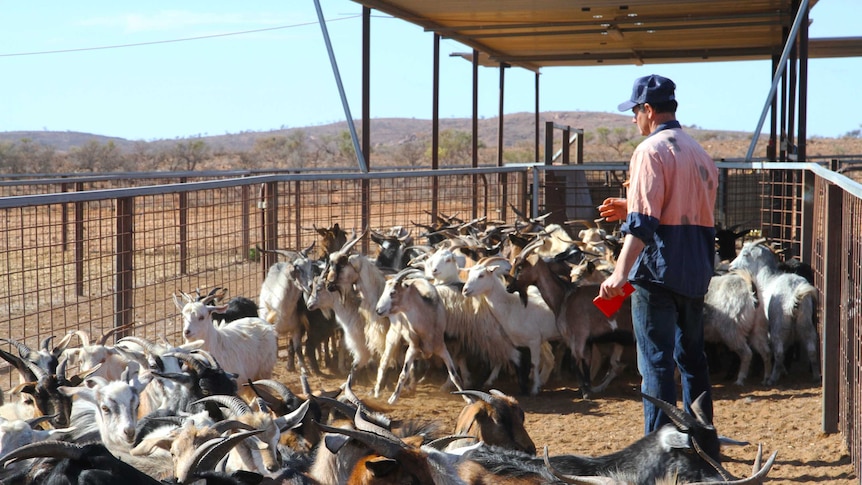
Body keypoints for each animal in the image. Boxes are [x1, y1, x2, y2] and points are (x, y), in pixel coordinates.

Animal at [728, 239, 824, 386]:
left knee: (778, 353)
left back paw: (772, 379)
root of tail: (794, 296)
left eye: (745, 254)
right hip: (806, 323)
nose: (730, 267)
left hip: (779, 327)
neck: (767, 278)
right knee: (812, 350)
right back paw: (816, 377)